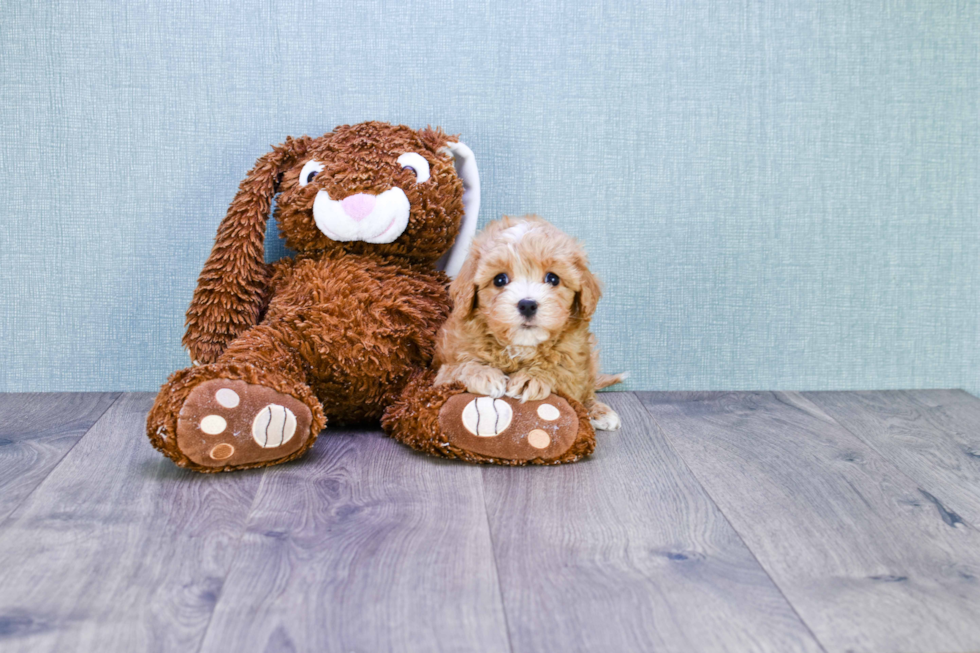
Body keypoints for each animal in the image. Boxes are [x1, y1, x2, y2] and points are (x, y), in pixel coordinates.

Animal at [434, 213, 624, 428]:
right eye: (499, 279)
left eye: (553, 278)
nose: (527, 305)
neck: (520, 346)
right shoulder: (442, 371)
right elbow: (459, 367)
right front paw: (483, 374)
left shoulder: (574, 367)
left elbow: (560, 373)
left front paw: (532, 377)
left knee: (588, 391)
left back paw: (599, 411)